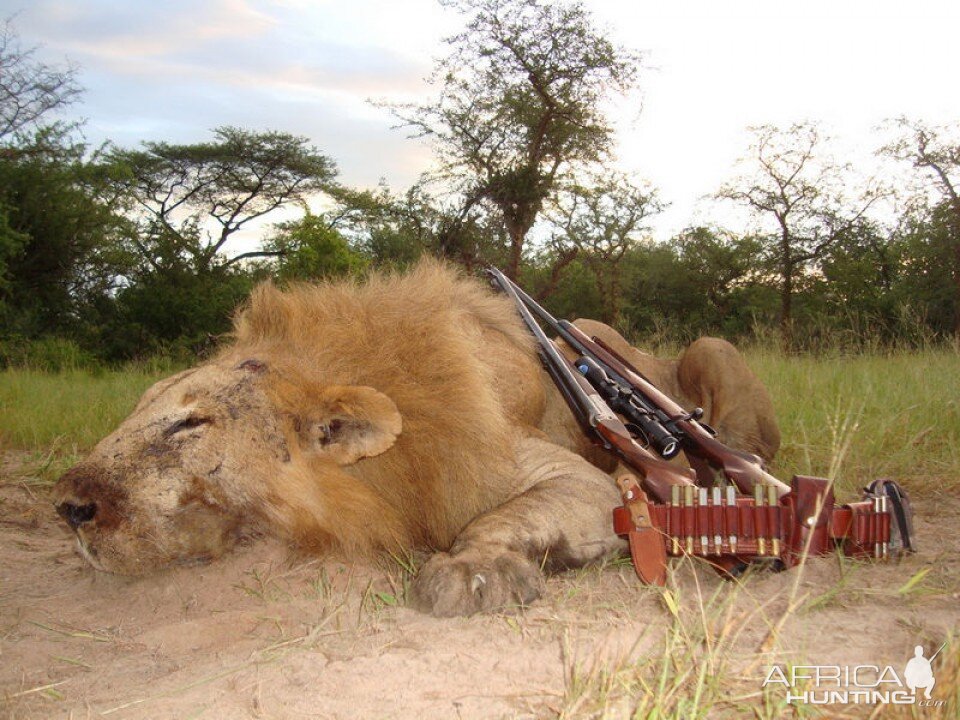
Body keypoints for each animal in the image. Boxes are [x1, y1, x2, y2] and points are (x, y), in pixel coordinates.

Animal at [54, 262, 780, 616]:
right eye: (140, 407)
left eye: (190, 423)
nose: (67, 506)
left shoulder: (565, 473)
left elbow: (505, 516)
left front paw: (473, 571)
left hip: (710, 348)